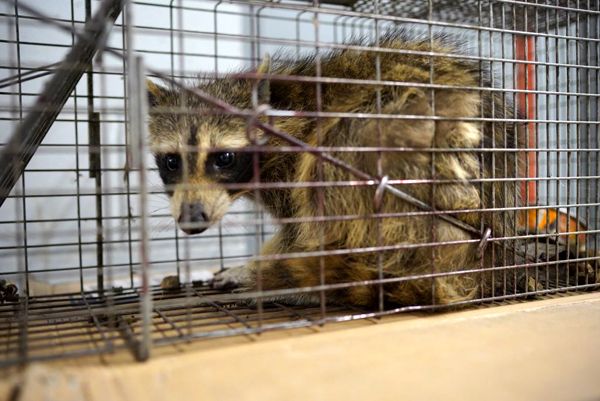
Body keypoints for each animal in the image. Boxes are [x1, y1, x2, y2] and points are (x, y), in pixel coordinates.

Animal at [146, 30, 520, 306]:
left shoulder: (293, 155)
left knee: (338, 148)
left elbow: (300, 230)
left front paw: (256, 268)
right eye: (171, 161)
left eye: (223, 158)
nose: (192, 218)